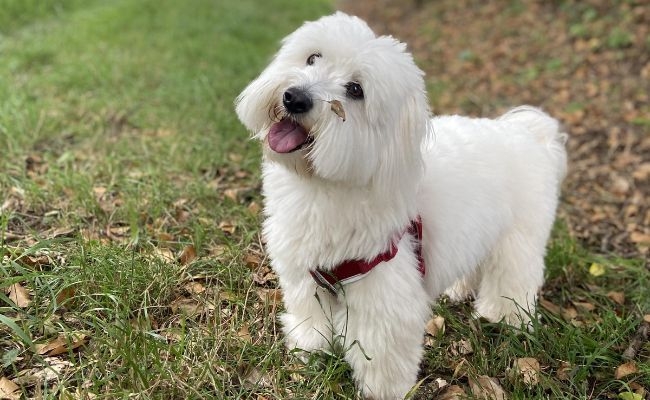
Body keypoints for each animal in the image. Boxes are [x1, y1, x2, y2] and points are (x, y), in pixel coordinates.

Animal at [235, 12, 564, 400]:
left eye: (355, 90)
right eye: (312, 58)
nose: (294, 98)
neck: (324, 187)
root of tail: (528, 133)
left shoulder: (384, 292)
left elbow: (382, 353)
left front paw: (383, 390)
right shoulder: (304, 276)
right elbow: (309, 318)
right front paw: (309, 350)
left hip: (518, 241)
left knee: (513, 280)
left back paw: (504, 319)